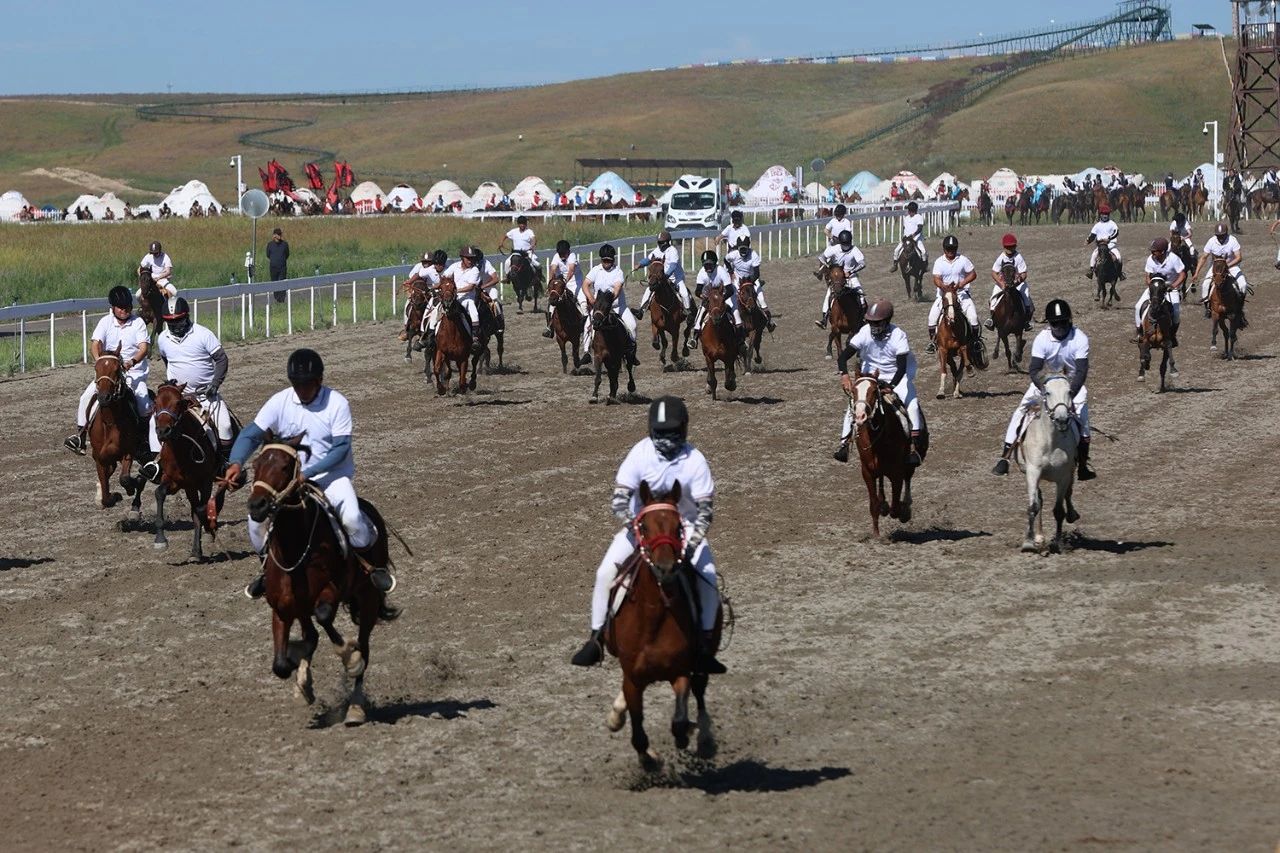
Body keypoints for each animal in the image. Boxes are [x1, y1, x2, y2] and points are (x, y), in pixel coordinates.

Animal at [85, 348, 147, 517]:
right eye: (96, 368)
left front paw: (130, 486)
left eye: (116, 369)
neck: (110, 423)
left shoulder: (128, 452)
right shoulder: (99, 458)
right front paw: (109, 496)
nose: (104, 397)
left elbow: (125, 478)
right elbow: (106, 495)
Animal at [243, 438, 394, 722]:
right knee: (311, 635)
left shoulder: (330, 592)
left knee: (364, 647)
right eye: (256, 464)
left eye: (285, 466)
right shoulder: (282, 608)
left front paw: (349, 658)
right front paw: (300, 674)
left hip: (368, 598)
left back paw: (355, 707)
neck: (294, 551)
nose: (257, 506)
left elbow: (324, 619)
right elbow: (281, 664)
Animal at [601, 481, 721, 768]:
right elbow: (638, 732)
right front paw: (649, 759)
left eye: (678, 527)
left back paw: (705, 738)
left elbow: (679, 719)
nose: (666, 568)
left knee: (701, 689)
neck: (653, 619)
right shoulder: (633, 679)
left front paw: (686, 735)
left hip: (704, 658)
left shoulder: (681, 672)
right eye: (644, 527)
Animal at [1018, 371, 1080, 550]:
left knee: (1068, 493)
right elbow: (1034, 506)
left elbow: (1059, 510)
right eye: (1048, 393)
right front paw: (1029, 541)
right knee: (1040, 500)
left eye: (1069, 392)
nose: (1061, 419)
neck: (1051, 441)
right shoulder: (1033, 472)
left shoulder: (1064, 476)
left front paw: (1058, 543)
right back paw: (1039, 537)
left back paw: (1072, 514)